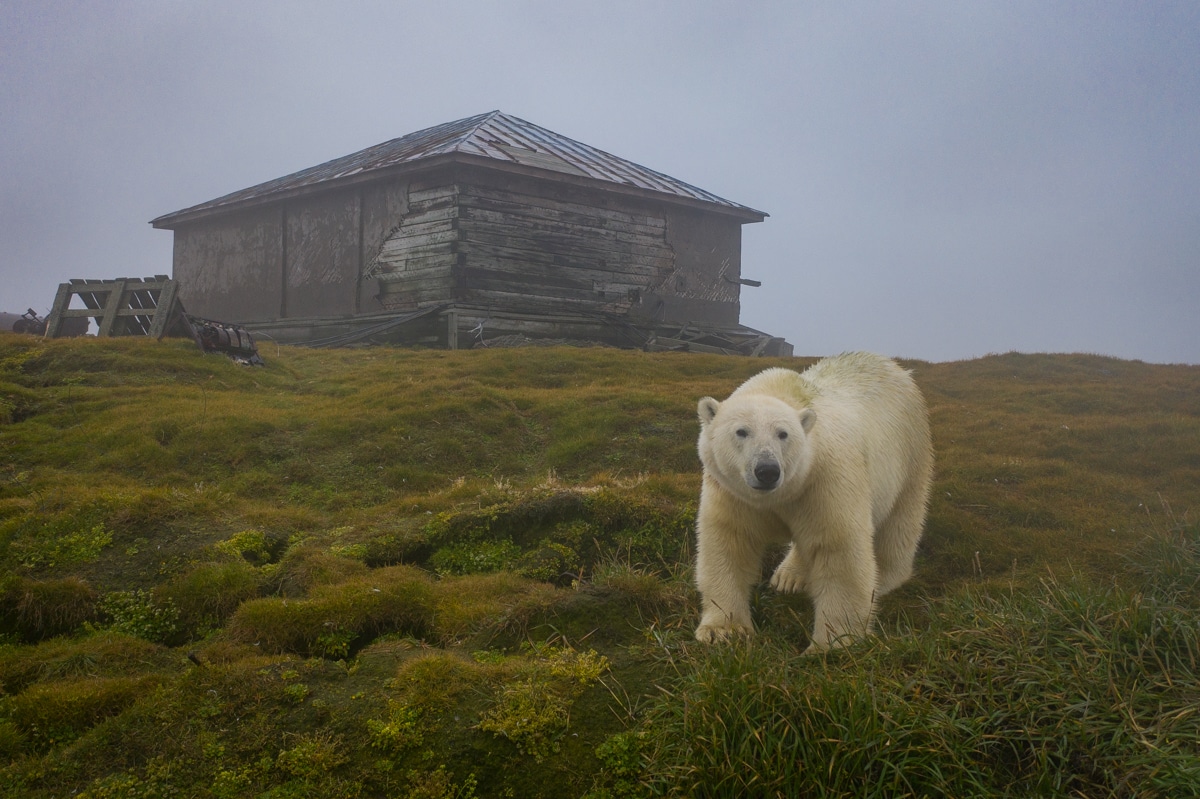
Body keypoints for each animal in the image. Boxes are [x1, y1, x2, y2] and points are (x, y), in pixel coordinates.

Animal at [691, 352, 931, 652]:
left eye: (783, 434)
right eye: (741, 431)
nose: (767, 470)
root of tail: (896, 368)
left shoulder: (825, 478)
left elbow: (838, 546)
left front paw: (834, 643)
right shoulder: (732, 492)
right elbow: (730, 542)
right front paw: (723, 631)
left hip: (911, 452)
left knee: (901, 520)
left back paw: (886, 577)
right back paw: (788, 577)